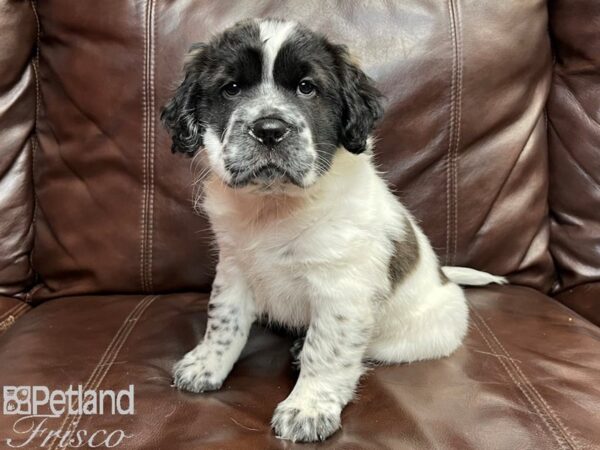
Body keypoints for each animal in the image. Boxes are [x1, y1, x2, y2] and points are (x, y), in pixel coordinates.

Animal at [161, 18, 506, 442]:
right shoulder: (234, 268)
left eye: (307, 87)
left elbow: (326, 350)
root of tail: (445, 277)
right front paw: (206, 366)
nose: (269, 129)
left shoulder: (341, 290)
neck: (276, 205)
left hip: (421, 334)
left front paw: (308, 408)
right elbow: (223, 322)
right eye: (232, 88)